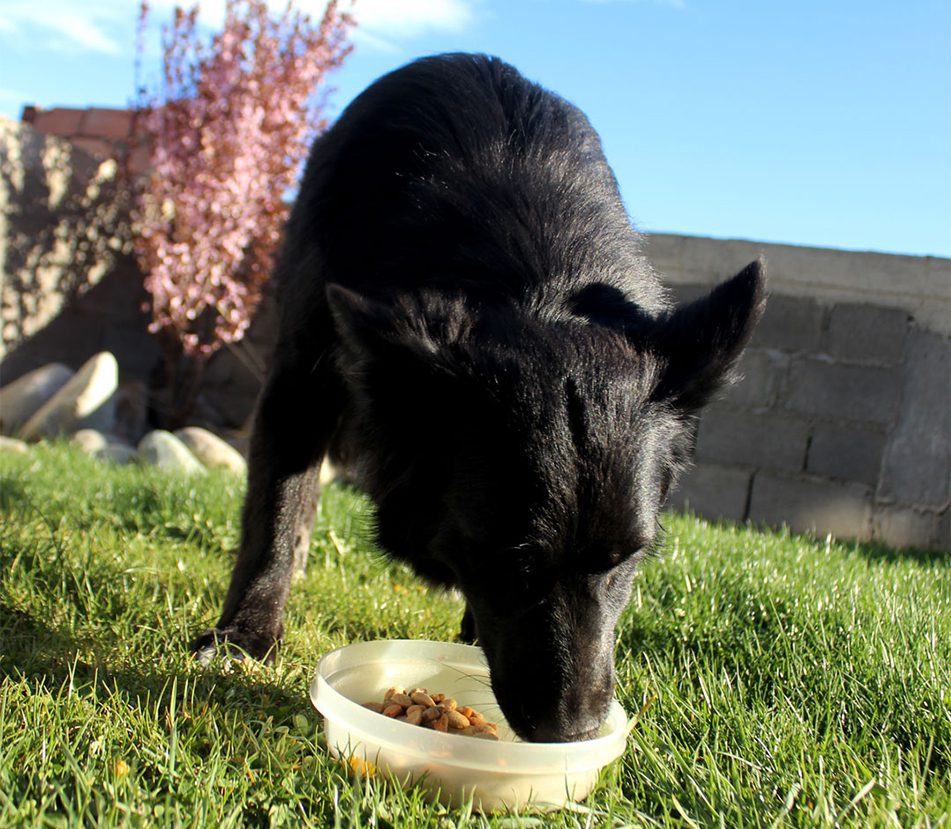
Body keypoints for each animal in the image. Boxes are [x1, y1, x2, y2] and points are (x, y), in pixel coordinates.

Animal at [193, 51, 768, 740]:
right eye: (510, 562)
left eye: (628, 557)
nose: (575, 733)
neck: (536, 274)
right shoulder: (300, 381)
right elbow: (276, 513)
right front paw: (244, 637)